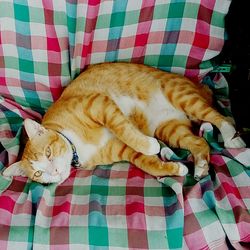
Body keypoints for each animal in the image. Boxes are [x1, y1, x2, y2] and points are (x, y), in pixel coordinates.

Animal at [2, 62, 245, 184]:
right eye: (38, 174)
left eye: (49, 152)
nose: (54, 172)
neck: (76, 147)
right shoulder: (122, 150)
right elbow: (147, 163)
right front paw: (174, 168)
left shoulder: (98, 105)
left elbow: (125, 129)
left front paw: (150, 145)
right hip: (170, 129)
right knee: (199, 143)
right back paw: (201, 166)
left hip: (182, 97)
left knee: (218, 117)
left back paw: (231, 137)